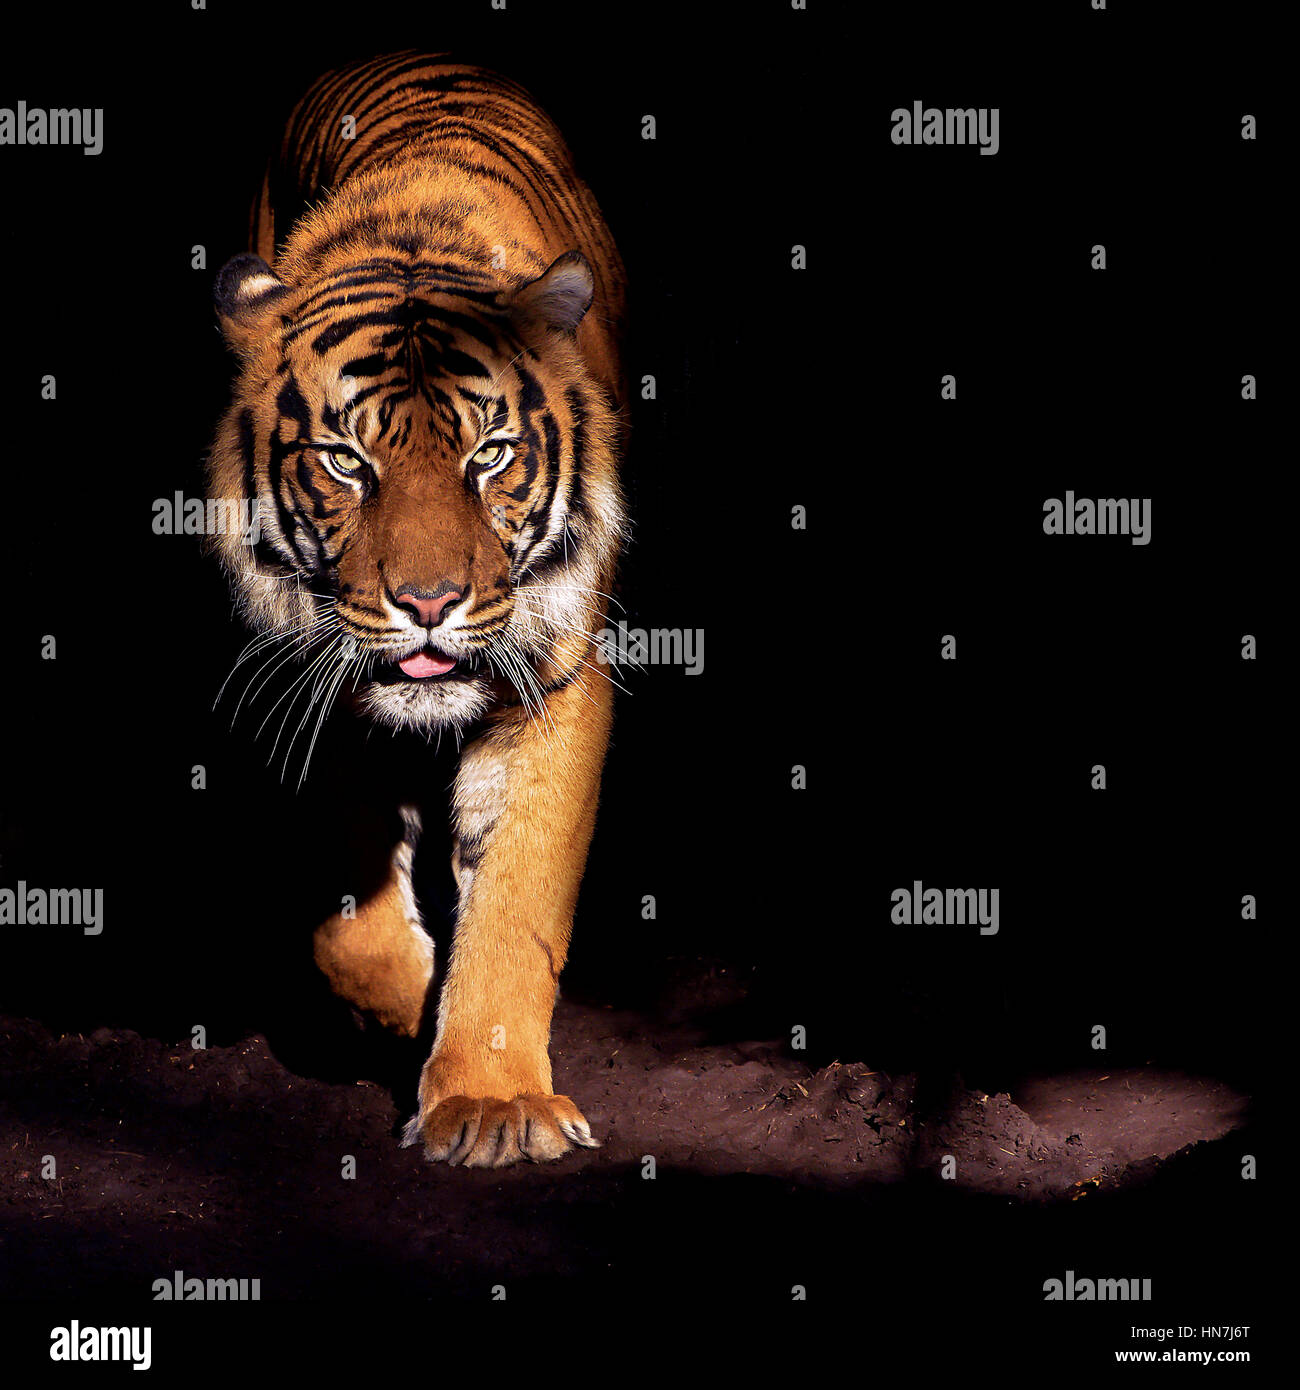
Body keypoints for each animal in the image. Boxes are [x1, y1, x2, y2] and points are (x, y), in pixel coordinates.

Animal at [206, 52, 627, 1167]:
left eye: (491, 454)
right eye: (348, 462)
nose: (430, 602)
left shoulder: (555, 680)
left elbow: (518, 898)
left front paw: (491, 1102)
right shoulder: (318, 679)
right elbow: (347, 917)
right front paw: (402, 1008)